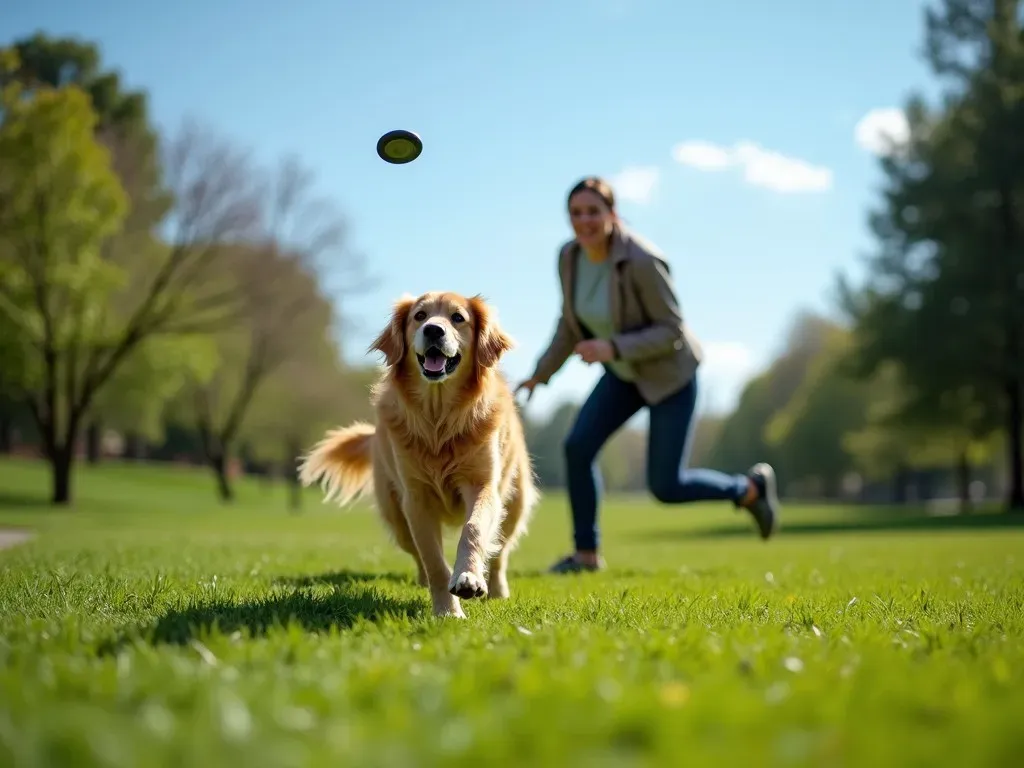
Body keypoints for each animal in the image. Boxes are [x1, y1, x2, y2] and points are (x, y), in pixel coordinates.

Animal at [296, 288, 536, 618]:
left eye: (458, 318)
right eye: (419, 316)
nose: (433, 330)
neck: (438, 419)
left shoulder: (482, 484)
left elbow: (474, 529)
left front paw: (468, 577)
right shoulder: (417, 499)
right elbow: (433, 560)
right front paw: (447, 611)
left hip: (514, 502)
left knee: (501, 549)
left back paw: (497, 590)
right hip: (396, 516)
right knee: (418, 552)